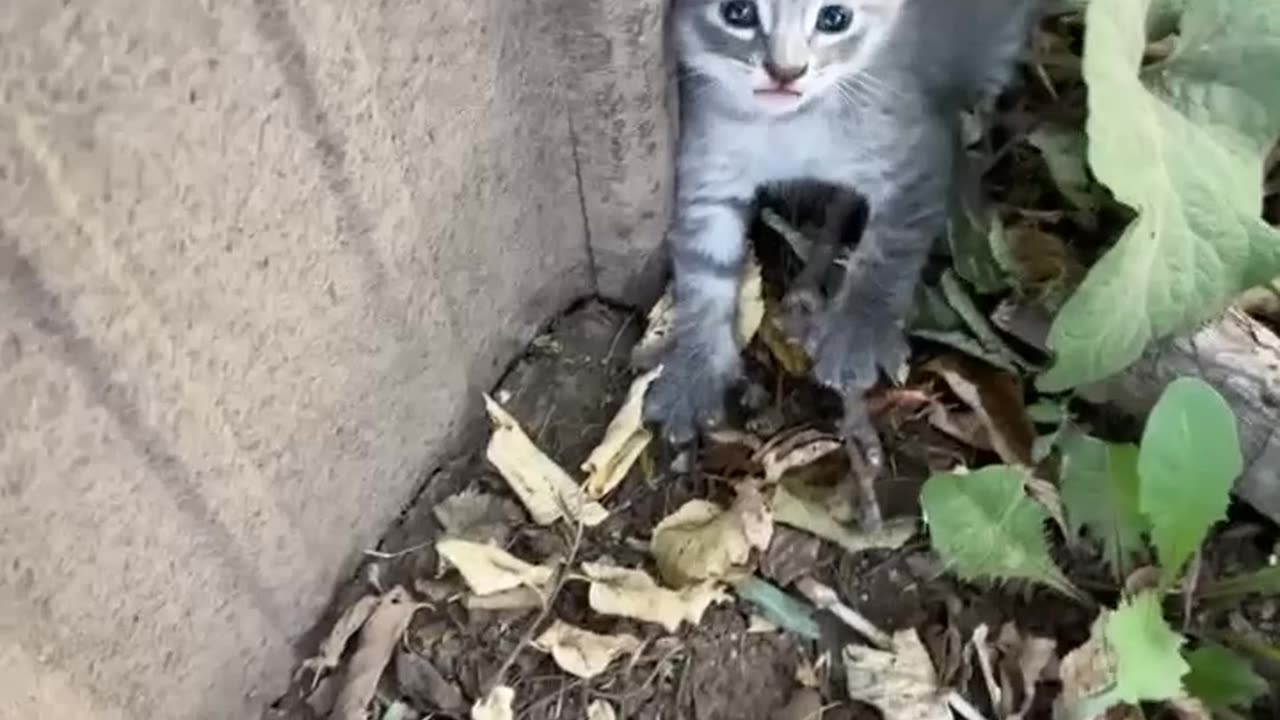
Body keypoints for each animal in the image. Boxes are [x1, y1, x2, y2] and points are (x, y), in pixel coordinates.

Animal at [645, 0, 1034, 445]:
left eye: (834, 18)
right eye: (737, 12)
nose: (786, 72)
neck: (789, 128)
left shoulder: (915, 158)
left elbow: (888, 253)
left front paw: (858, 330)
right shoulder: (708, 174)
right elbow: (703, 276)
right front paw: (696, 367)